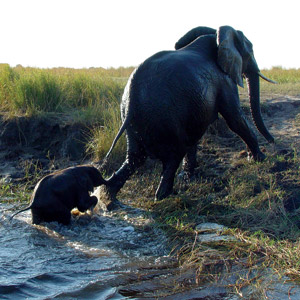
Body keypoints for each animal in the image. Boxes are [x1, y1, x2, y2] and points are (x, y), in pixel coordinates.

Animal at [100, 25, 274, 209]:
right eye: (251, 50)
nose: (272, 141)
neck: (216, 36)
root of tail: (132, 96)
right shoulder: (224, 80)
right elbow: (234, 119)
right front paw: (261, 159)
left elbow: (197, 132)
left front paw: (188, 177)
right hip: (165, 117)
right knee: (174, 154)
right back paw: (164, 197)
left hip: (133, 119)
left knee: (135, 158)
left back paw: (109, 198)